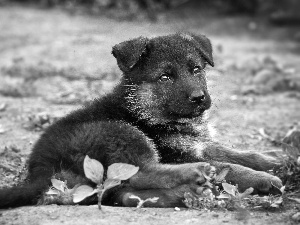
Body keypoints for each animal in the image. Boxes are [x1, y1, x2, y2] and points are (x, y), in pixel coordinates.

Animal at [0, 32, 282, 208]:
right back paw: (195, 174)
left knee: (125, 192)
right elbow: (228, 166)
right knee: (141, 172)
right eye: (165, 77)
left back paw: (185, 193)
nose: (199, 98)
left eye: (196, 70)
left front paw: (274, 159)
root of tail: (40, 167)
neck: (144, 111)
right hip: (119, 132)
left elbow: (235, 153)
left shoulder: (199, 144)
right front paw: (262, 178)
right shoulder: (177, 153)